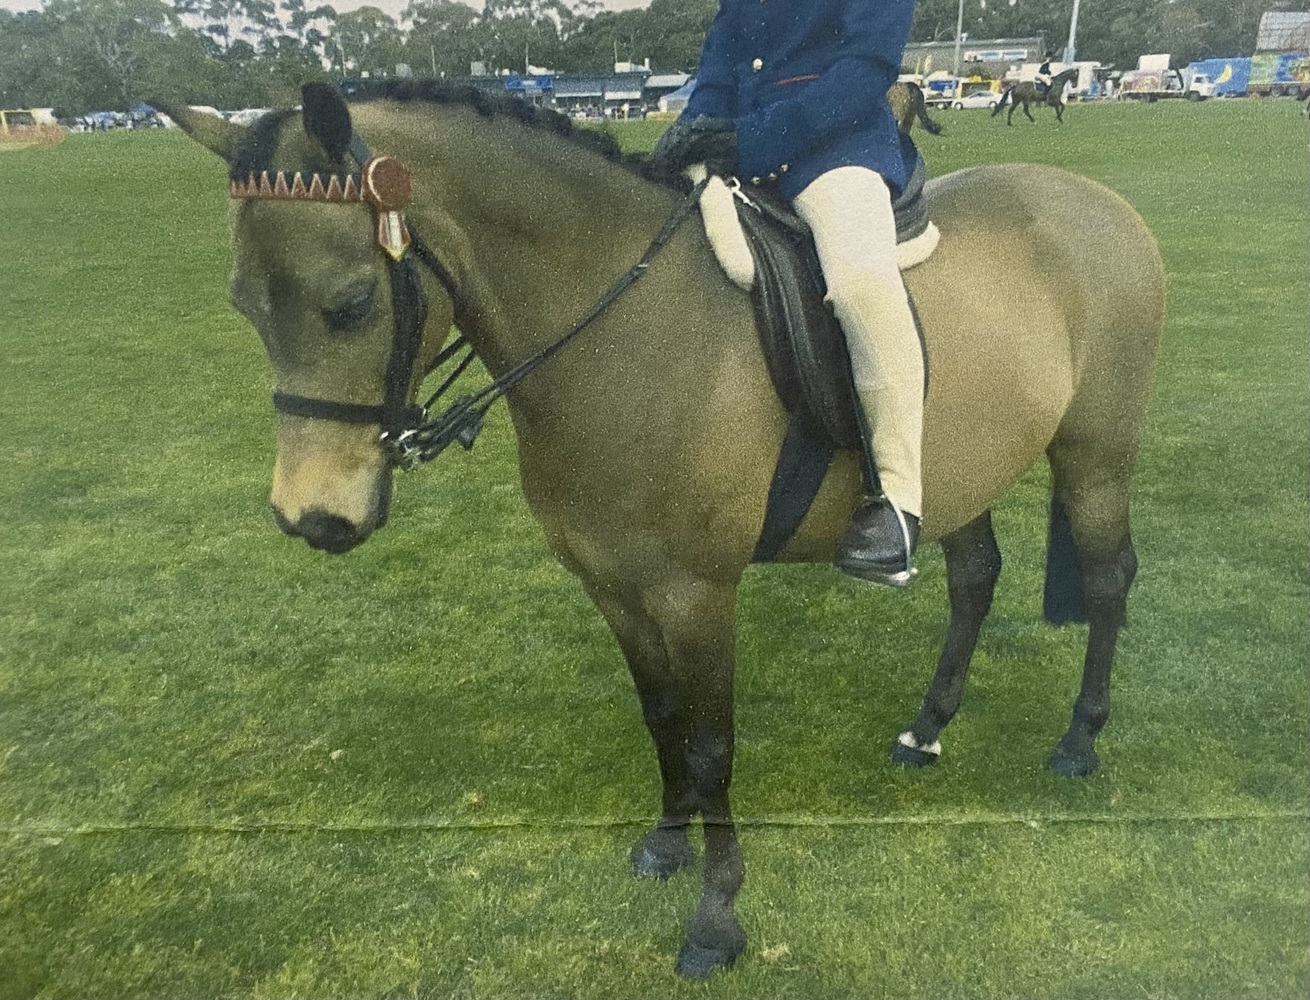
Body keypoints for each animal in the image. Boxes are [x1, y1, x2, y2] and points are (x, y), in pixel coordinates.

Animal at [164, 82, 1164, 980]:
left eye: (351, 304)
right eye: (244, 305)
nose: (312, 517)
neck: (624, 333)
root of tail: (1099, 204)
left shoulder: (695, 592)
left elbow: (713, 741)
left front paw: (717, 919)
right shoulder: (612, 581)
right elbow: (662, 715)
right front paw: (666, 839)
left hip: (1095, 455)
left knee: (1108, 581)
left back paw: (1079, 741)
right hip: (963, 471)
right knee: (974, 579)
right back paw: (926, 729)